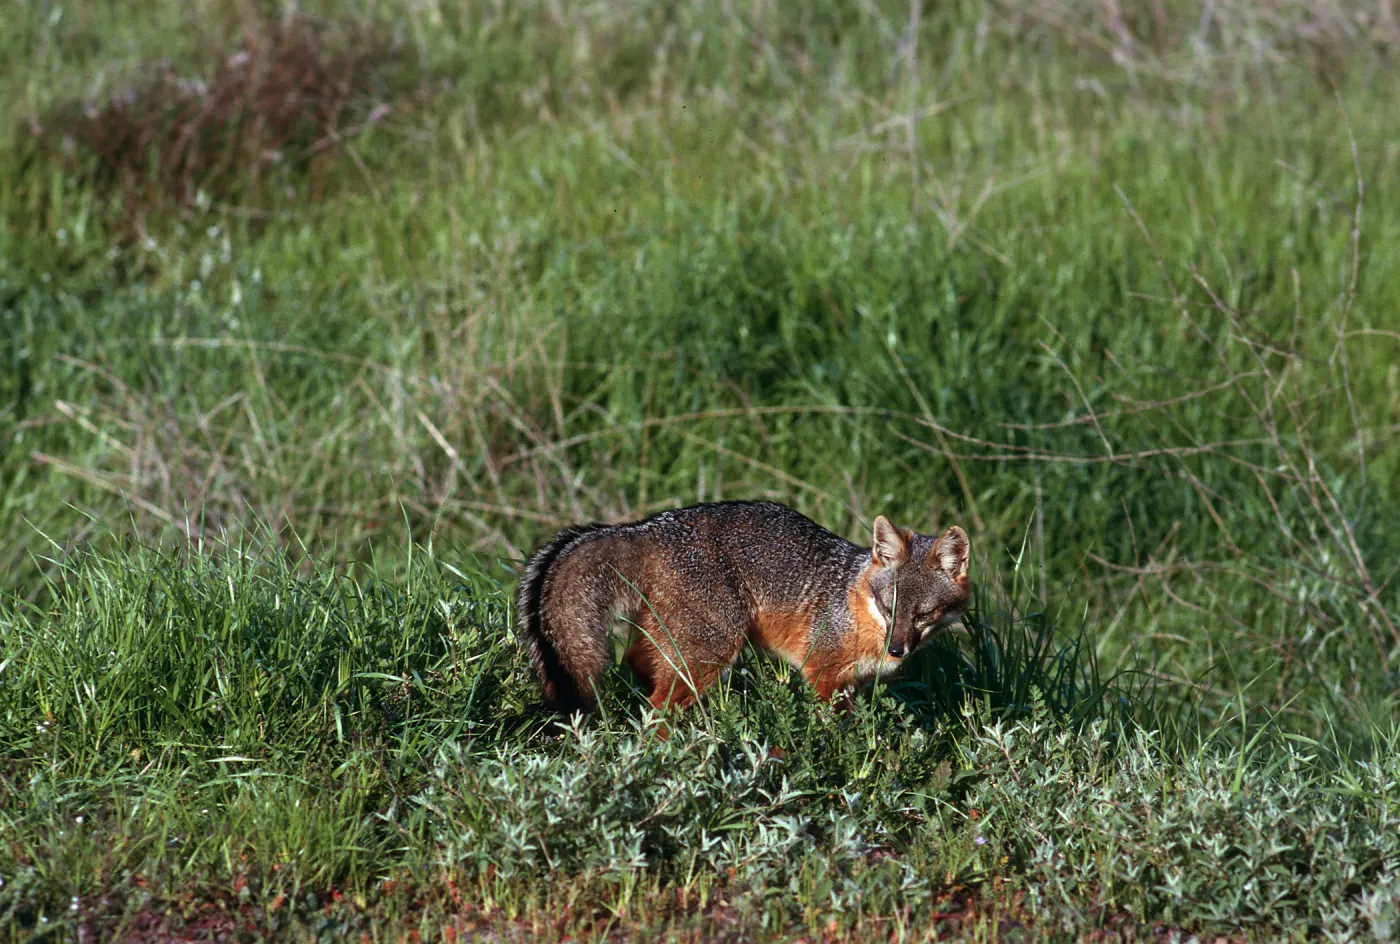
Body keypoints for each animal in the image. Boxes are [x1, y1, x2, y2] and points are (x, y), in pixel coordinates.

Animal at [515, 500, 971, 716]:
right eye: (887, 606)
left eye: (923, 614)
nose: (898, 650)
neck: (853, 598)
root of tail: (647, 527)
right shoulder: (824, 672)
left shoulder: (852, 681)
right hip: (711, 650)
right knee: (658, 709)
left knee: (639, 665)